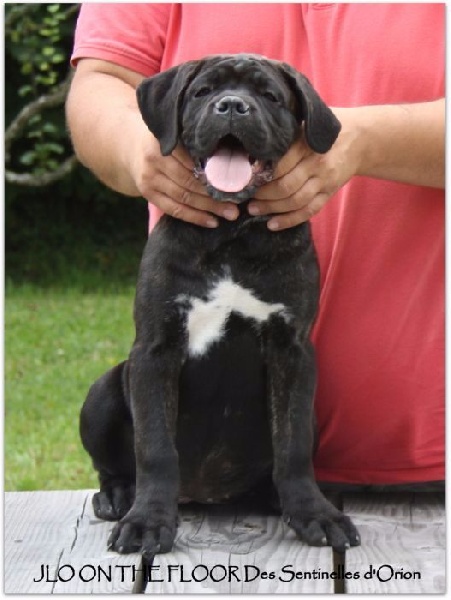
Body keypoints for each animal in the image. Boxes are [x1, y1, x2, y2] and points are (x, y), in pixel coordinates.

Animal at [81, 54, 362, 556]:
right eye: (202, 92)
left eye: (269, 96)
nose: (232, 106)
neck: (233, 233)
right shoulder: (155, 351)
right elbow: (155, 446)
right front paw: (148, 522)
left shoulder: (292, 350)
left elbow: (293, 444)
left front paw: (314, 513)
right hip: (104, 390)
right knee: (113, 463)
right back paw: (117, 496)